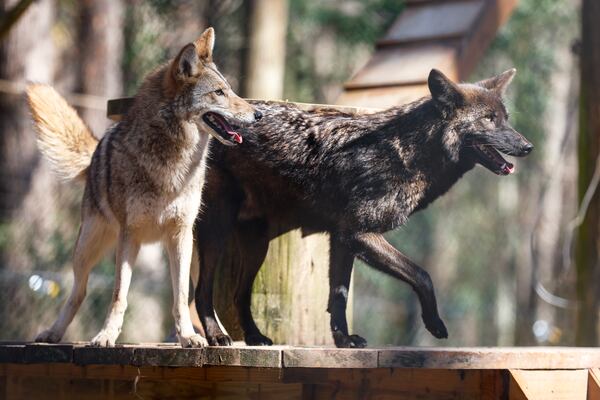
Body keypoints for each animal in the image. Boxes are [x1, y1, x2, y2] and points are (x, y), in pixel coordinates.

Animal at [27, 27, 260, 346]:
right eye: (219, 92)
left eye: (231, 90)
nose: (258, 115)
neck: (172, 163)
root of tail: (97, 148)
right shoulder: (129, 234)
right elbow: (118, 296)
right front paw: (106, 336)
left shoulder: (180, 235)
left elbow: (181, 297)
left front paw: (188, 337)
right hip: (86, 248)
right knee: (78, 291)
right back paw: (53, 333)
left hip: (196, 252)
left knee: (202, 295)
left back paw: (218, 335)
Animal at [195, 68, 532, 346]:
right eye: (488, 119)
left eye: (505, 118)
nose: (528, 146)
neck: (408, 152)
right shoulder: (359, 234)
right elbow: (422, 274)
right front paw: (434, 324)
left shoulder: (342, 239)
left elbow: (339, 295)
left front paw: (344, 341)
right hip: (217, 233)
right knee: (202, 290)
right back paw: (215, 336)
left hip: (257, 245)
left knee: (239, 295)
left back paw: (256, 338)